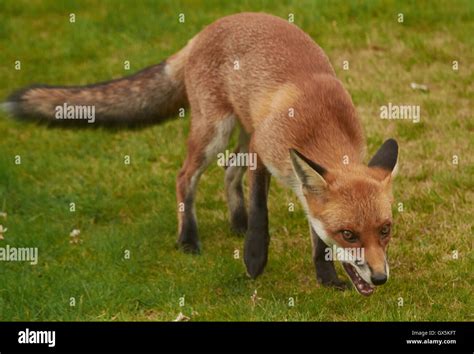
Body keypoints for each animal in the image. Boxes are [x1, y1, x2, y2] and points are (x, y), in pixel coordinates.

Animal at [1, 13, 398, 296]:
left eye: (385, 230)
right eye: (348, 234)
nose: (380, 279)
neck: (320, 124)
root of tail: (205, 31)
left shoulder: (301, 184)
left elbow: (315, 235)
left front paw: (325, 276)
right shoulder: (266, 151)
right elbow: (261, 210)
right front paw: (254, 258)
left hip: (241, 133)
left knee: (228, 171)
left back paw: (235, 221)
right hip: (216, 132)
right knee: (185, 177)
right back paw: (189, 238)